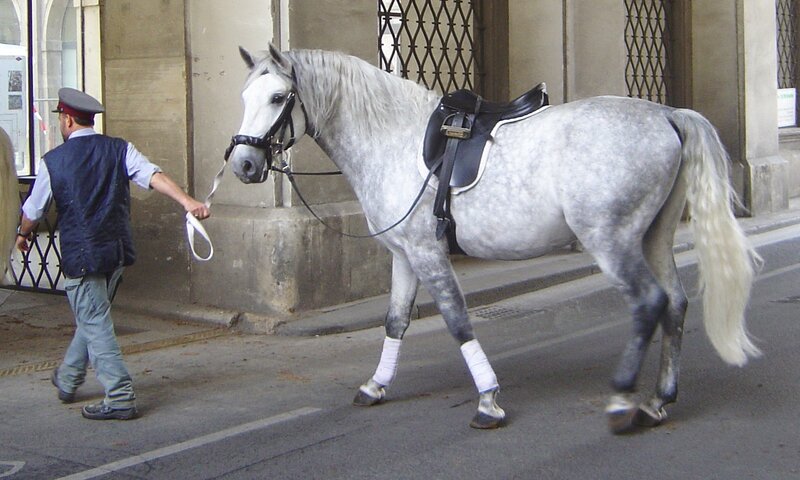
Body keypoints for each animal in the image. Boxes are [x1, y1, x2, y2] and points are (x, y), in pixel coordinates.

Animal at [225, 44, 761, 432]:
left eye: (278, 98)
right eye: (245, 98)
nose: (244, 165)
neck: (392, 137)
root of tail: (668, 115)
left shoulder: (427, 254)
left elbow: (458, 323)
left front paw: (488, 401)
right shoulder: (404, 255)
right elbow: (395, 321)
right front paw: (376, 386)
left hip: (613, 242)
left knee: (649, 303)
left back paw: (623, 400)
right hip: (654, 238)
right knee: (675, 303)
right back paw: (658, 400)